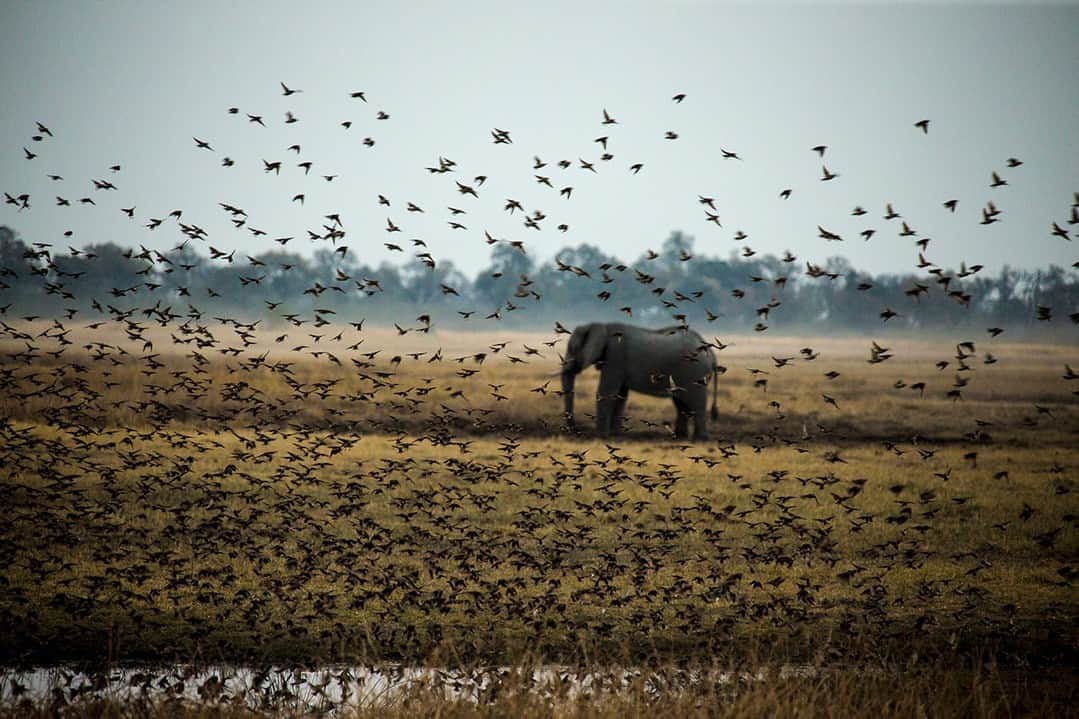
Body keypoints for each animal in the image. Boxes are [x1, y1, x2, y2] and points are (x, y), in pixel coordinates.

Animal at [561, 322, 719, 440]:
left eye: (573, 349)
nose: (574, 430)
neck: (601, 326)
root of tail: (711, 353)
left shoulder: (615, 356)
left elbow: (607, 391)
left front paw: (601, 436)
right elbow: (620, 395)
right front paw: (615, 435)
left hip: (695, 372)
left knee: (696, 402)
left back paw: (700, 439)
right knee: (681, 403)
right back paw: (680, 436)